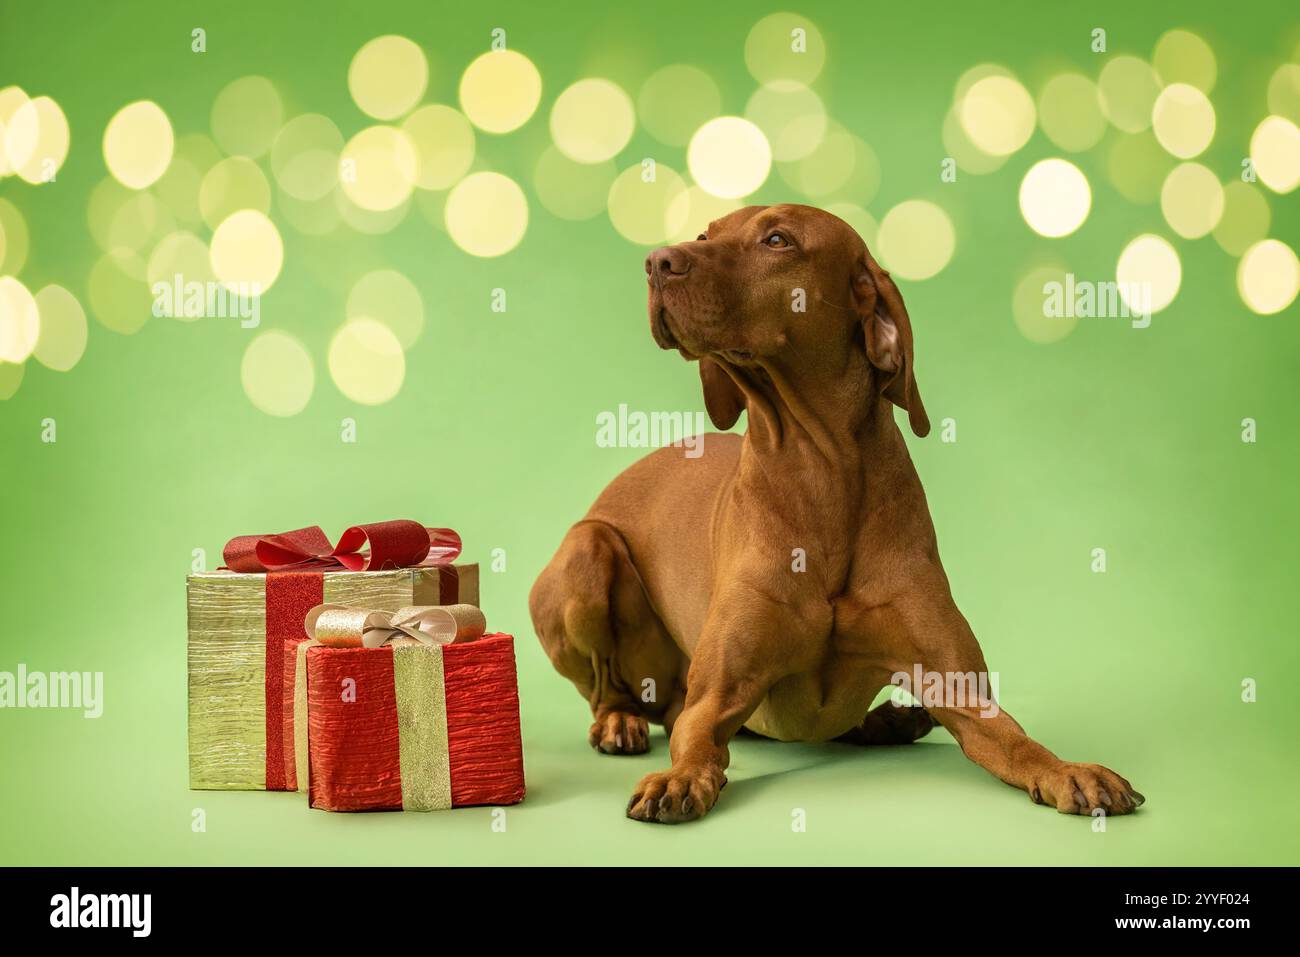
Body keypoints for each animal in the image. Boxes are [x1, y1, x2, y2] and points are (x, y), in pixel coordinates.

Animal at [522, 201, 1144, 821]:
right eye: (705, 233)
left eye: (778, 240)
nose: (656, 262)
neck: (821, 475)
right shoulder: (715, 696)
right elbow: (696, 742)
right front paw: (678, 779)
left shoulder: (961, 690)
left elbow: (1018, 742)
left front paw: (1070, 771)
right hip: (590, 552)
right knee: (611, 688)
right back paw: (618, 721)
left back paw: (886, 720)